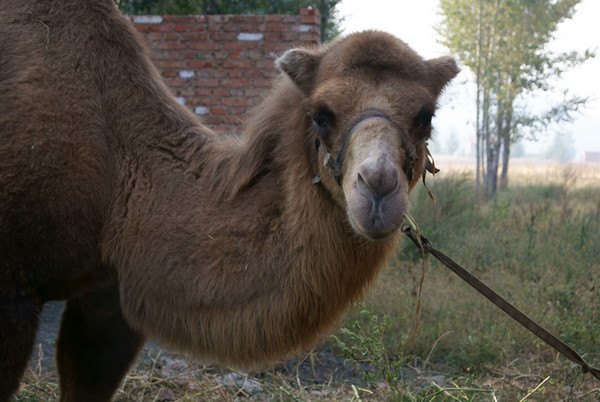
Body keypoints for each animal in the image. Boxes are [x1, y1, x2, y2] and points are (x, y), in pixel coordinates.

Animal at [1, 0, 460, 398]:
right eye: (322, 114)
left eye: (426, 117)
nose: (378, 186)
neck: (123, 181)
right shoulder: (13, 290)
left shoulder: (107, 297)